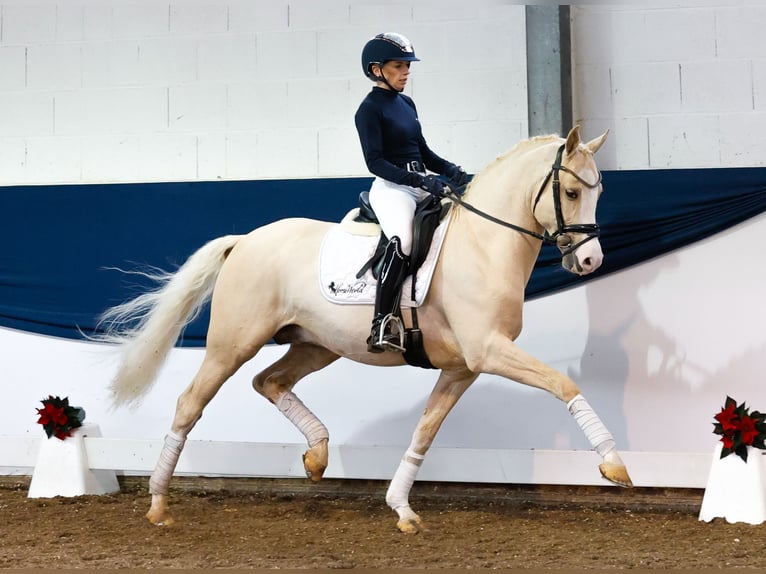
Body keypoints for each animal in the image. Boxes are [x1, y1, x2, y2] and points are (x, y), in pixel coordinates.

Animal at [99, 126, 632, 536]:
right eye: (570, 193)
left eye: (600, 192)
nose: (590, 262)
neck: (484, 244)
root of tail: (245, 240)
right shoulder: (489, 352)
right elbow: (563, 383)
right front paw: (614, 464)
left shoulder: (462, 367)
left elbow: (425, 431)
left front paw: (402, 509)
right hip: (233, 344)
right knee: (191, 403)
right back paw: (158, 504)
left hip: (317, 346)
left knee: (269, 381)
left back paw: (316, 456)